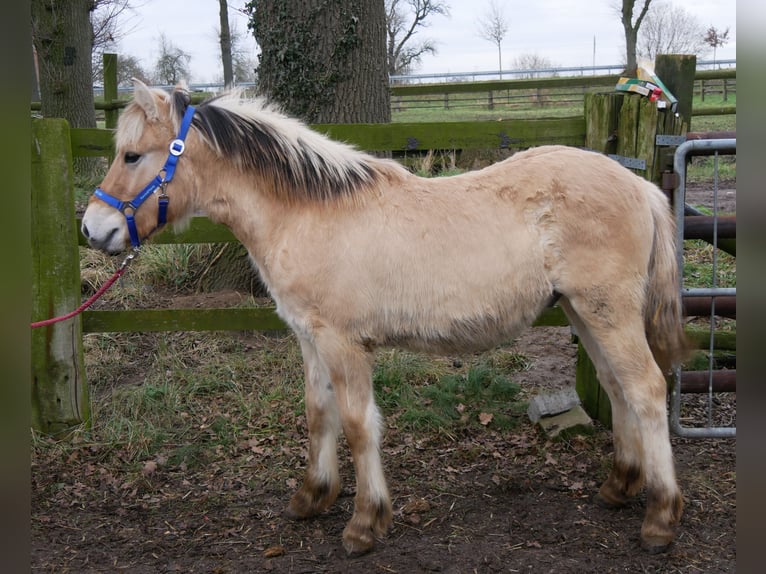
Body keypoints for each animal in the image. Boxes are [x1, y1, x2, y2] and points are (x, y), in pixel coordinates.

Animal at [82, 81, 688, 560]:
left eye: (132, 155)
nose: (93, 229)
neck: (309, 212)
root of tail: (640, 186)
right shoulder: (309, 338)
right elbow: (318, 415)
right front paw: (312, 497)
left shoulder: (343, 343)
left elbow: (357, 424)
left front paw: (364, 523)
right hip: (583, 311)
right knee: (617, 386)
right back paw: (620, 486)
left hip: (607, 311)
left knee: (645, 388)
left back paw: (660, 518)